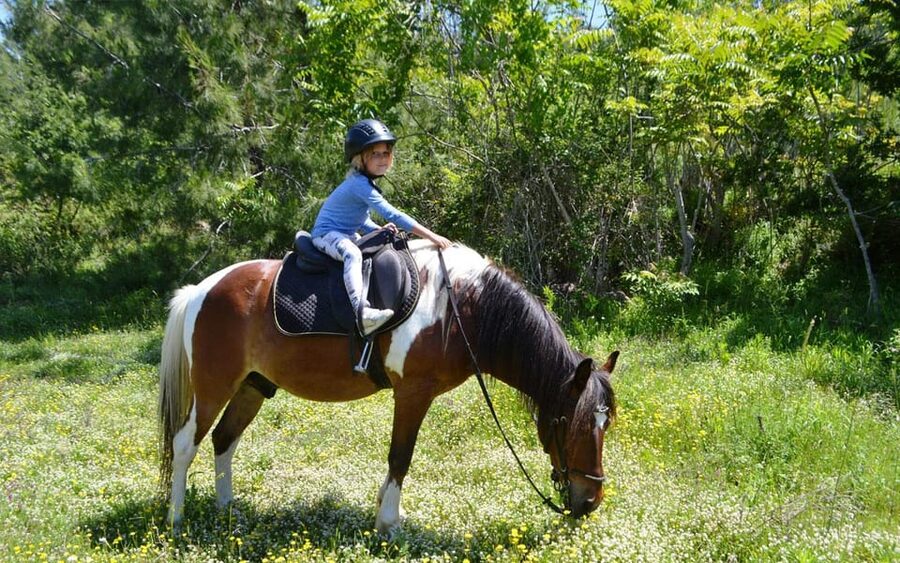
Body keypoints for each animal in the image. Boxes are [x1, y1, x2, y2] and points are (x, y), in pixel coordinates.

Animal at [157, 240, 617, 534]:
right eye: (571, 423)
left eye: (606, 425)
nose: (591, 500)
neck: (460, 310)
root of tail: (201, 290)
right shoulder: (413, 393)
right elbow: (400, 457)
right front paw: (389, 525)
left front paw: (383, 513)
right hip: (213, 387)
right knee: (184, 444)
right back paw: (176, 519)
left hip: (253, 386)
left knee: (224, 439)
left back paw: (226, 512)